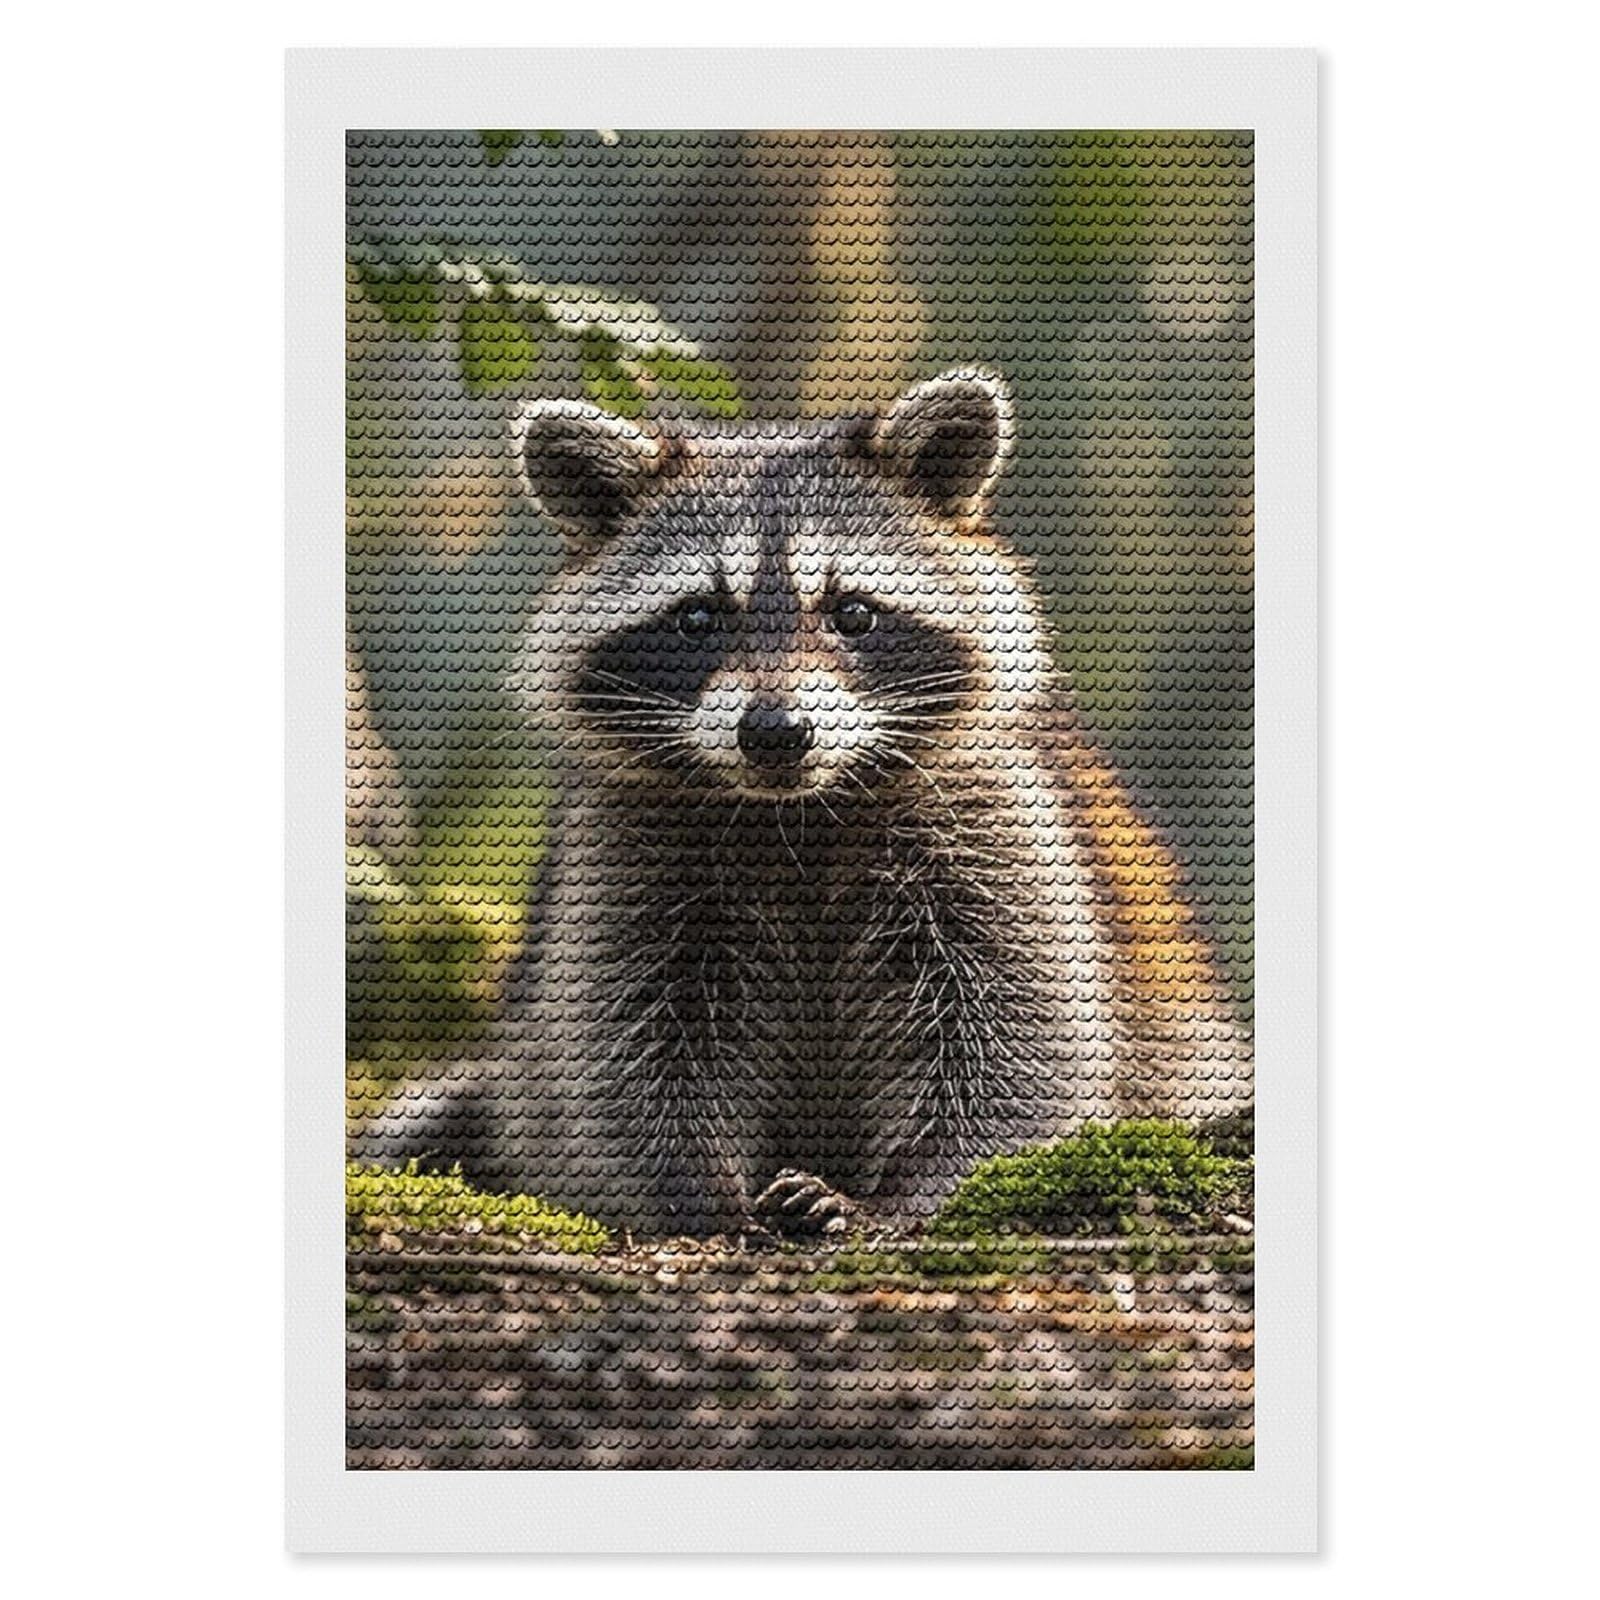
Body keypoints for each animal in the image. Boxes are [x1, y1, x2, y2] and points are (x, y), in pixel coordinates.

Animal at [356, 369, 1252, 1236]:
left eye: (853, 611)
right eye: (697, 617)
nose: (776, 732)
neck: (797, 813)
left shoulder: (996, 819)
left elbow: (1018, 1040)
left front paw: (908, 1195)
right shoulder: (628, 849)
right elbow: (627, 1049)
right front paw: (701, 1199)